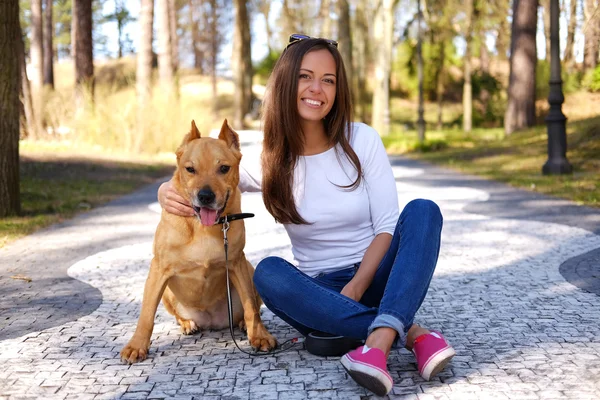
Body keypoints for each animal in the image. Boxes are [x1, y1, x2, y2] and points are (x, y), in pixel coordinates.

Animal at [120, 118, 278, 362]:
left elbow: (251, 306)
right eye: (190, 169)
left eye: (223, 168)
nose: (205, 196)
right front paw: (137, 345)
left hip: (250, 271)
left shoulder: (237, 263)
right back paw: (187, 323)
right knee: (177, 315)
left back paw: (243, 324)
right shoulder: (158, 270)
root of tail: (212, 321)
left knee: (249, 308)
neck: (203, 227)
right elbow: (146, 314)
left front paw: (259, 335)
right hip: (167, 292)